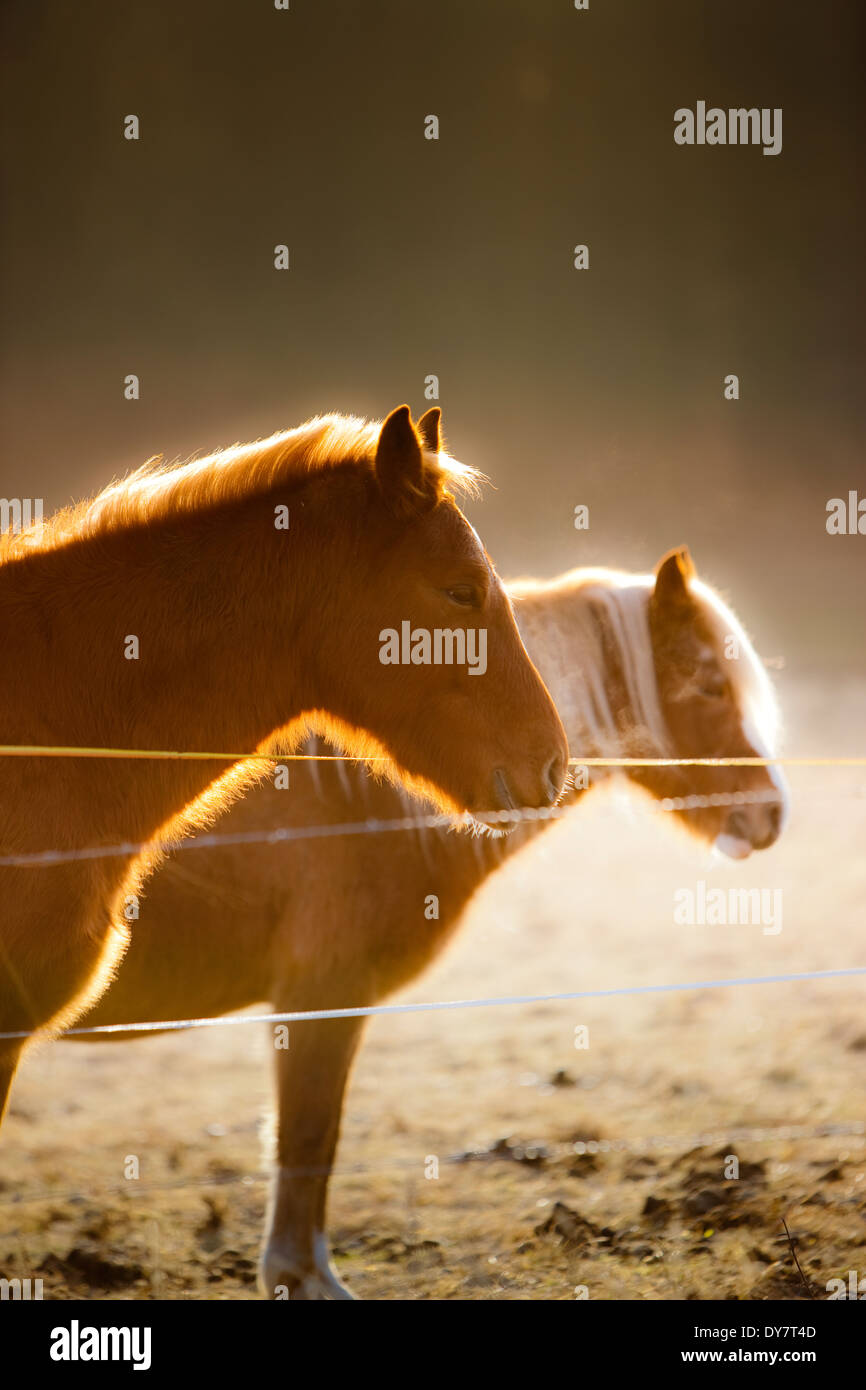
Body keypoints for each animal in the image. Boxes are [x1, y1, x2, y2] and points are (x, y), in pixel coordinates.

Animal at [69, 547, 783, 1295]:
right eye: (710, 686)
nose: (773, 813)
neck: (366, 803)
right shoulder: (322, 997)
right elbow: (307, 1136)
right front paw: (301, 1276)